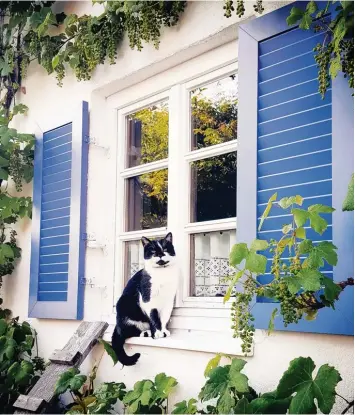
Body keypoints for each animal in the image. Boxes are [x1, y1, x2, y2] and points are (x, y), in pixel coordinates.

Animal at [112, 234, 178, 368]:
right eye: (153, 251)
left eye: (165, 248)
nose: (160, 254)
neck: (162, 274)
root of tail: (117, 325)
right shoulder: (147, 299)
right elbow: (154, 316)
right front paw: (157, 333)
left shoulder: (169, 301)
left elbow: (164, 318)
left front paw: (164, 331)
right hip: (123, 305)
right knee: (128, 332)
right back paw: (146, 333)